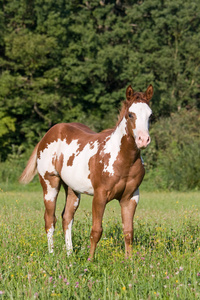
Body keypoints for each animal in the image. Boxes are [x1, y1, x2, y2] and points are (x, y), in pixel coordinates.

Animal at [19, 85, 153, 260]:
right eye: (131, 114)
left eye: (150, 115)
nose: (143, 140)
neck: (123, 160)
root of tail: (46, 136)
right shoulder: (100, 196)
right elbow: (96, 231)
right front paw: (90, 260)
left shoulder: (130, 197)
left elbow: (128, 232)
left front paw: (129, 261)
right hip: (50, 184)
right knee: (49, 220)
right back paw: (52, 254)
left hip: (72, 189)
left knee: (67, 218)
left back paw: (70, 254)